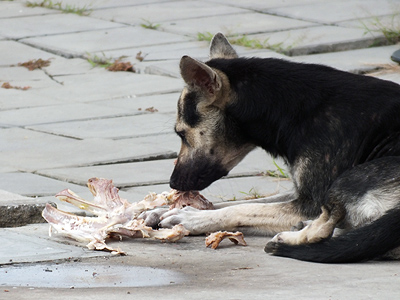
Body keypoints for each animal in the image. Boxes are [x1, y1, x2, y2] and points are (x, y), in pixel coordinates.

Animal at [141, 32, 400, 262]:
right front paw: (166, 209)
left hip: (348, 180)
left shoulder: (309, 202)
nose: (173, 183)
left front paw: (190, 218)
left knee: (330, 227)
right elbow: (239, 203)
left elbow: (240, 209)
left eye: (181, 134)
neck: (289, 107)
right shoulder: (297, 193)